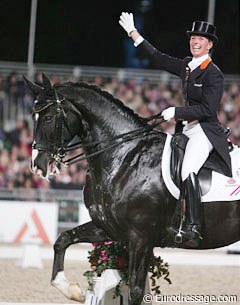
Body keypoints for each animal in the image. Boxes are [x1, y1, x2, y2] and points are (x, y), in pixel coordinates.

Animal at [25, 74, 239, 304]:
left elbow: (135, 291)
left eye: (48, 118)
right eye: (33, 117)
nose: (37, 165)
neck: (123, 155)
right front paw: (73, 290)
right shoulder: (108, 228)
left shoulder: (141, 238)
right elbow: (62, 240)